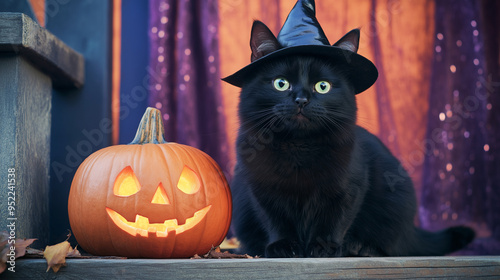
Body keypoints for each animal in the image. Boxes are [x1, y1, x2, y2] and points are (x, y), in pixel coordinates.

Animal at [224, 18, 476, 258]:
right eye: (280, 83)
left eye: (322, 86)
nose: (301, 100)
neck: (299, 146)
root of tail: (412, 230)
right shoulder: (261, 190)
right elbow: (275, 220)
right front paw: (283, 246)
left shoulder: (350, 187)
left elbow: (335, 219)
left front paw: (324, 247)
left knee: (393, 244)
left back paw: (360, 248)